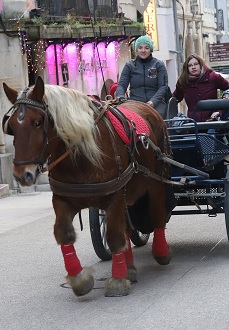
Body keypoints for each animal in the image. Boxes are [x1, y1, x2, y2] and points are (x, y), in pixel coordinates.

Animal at [1, 76, 174, 298]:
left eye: (38, 122)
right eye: (11, 126)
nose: (22, 175)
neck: (80, 156)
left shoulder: (114, 198)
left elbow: (114, 236)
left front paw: (117, 281)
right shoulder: (62, 200)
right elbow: (64, 234)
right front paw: (79, 279)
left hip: (156, 182)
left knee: (157, 214)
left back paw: (161, 252)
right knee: (127, 228)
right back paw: (129, 267)